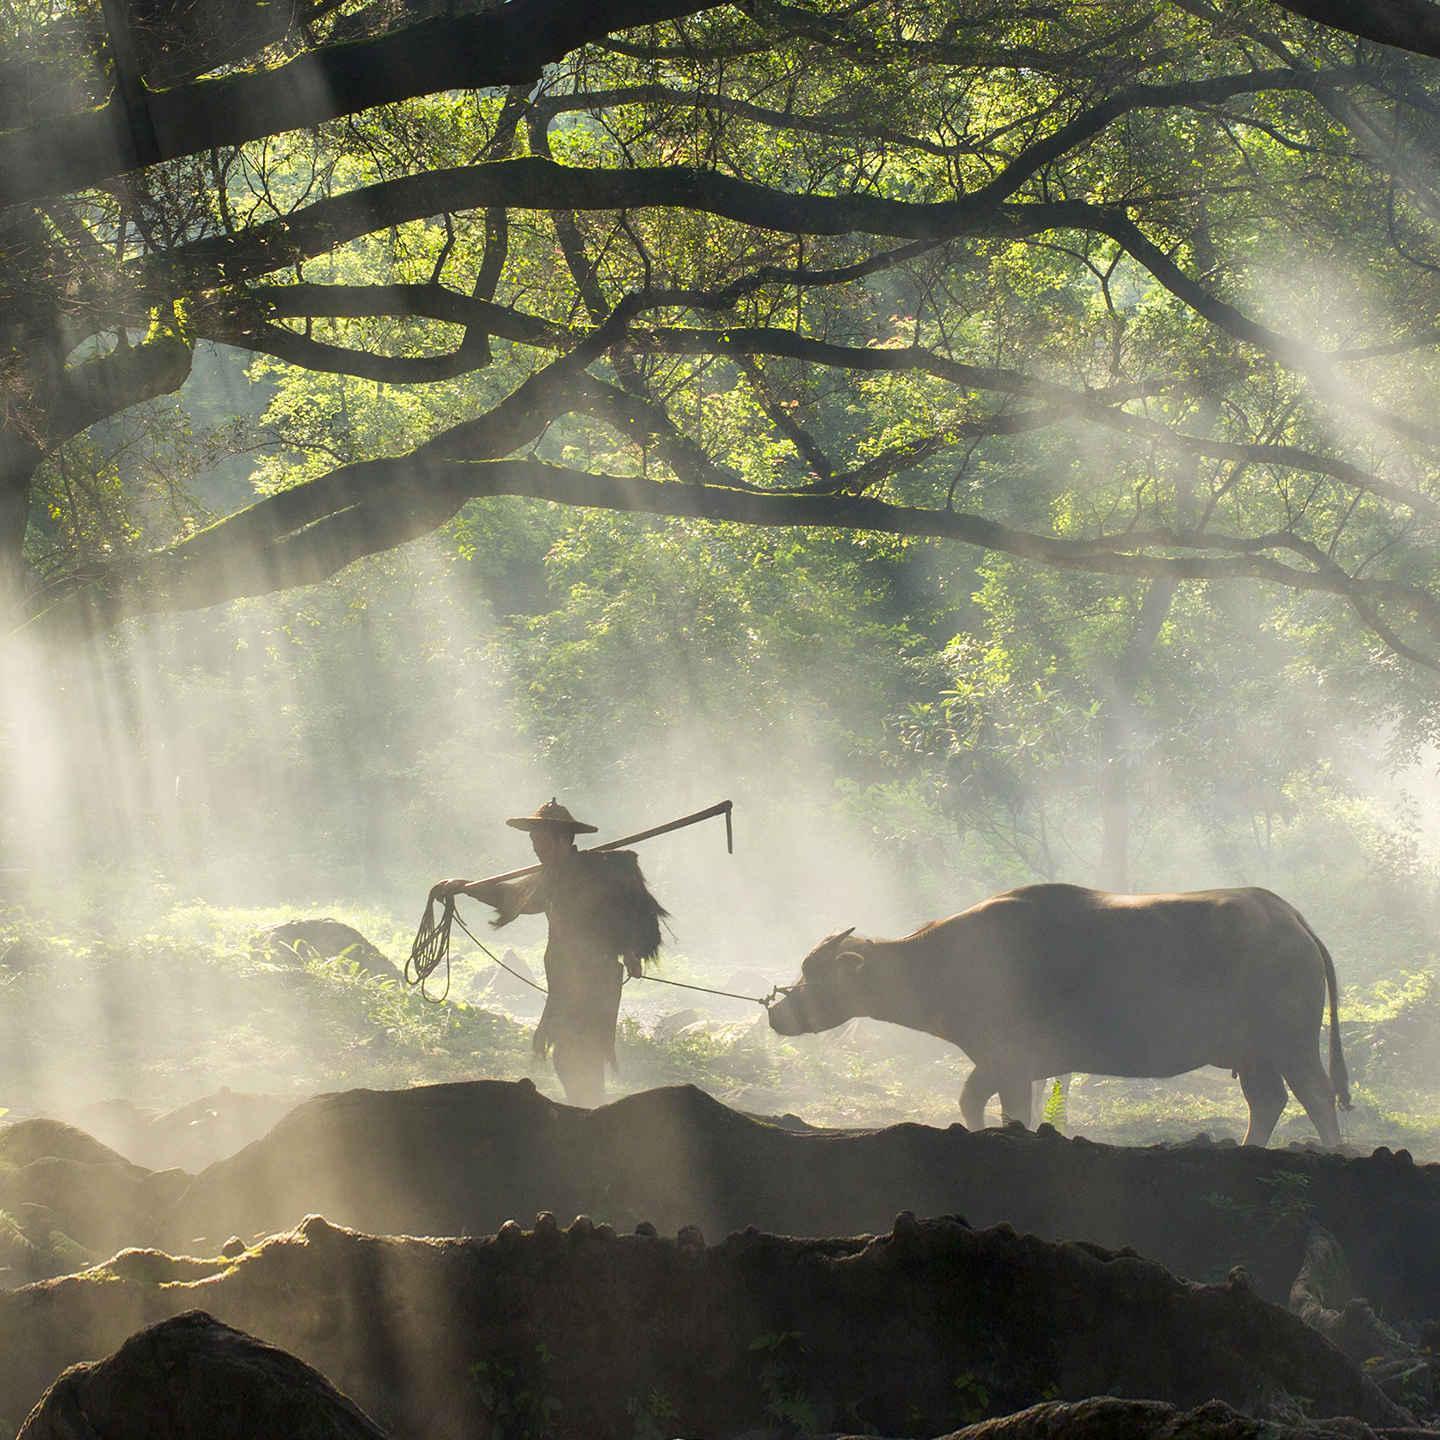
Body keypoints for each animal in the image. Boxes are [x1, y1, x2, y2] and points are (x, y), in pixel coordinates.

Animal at [771, 875, 1342, 1146]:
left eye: (815, 972)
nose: (778, 1013)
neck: (949, 960)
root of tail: (1289, 917)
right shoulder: (1008, 1065)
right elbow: (977, 1101)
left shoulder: (1008, 1060)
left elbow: (994, 1106)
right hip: (1253, 1054)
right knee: (1267, 1102)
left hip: (1292, 1042)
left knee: (1316, 1095)